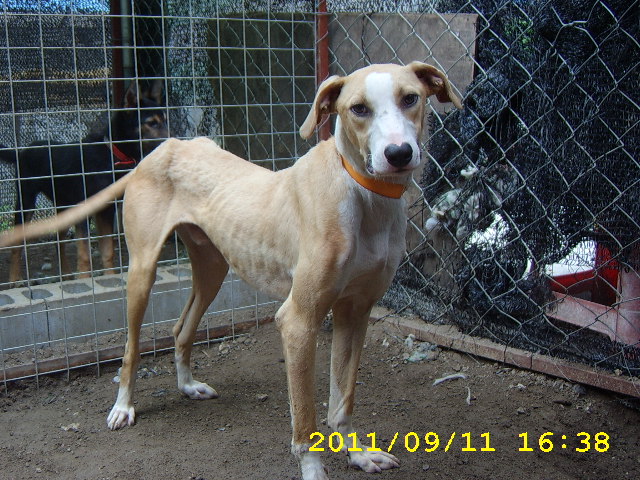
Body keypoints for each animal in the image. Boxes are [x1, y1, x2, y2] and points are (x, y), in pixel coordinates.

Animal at [0, 81, 168, 284]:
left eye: (166, 120)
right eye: (151, 123)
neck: (113, 155)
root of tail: (21, 152)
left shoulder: (105, 211)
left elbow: (108, 251)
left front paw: (109, 278)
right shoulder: (85, 211)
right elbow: (85, 255)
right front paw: (85, 278)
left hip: (64, 208)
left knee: (58, 242)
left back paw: (66, 275)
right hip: (26, 203)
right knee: (17, 246)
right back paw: (14, 280)